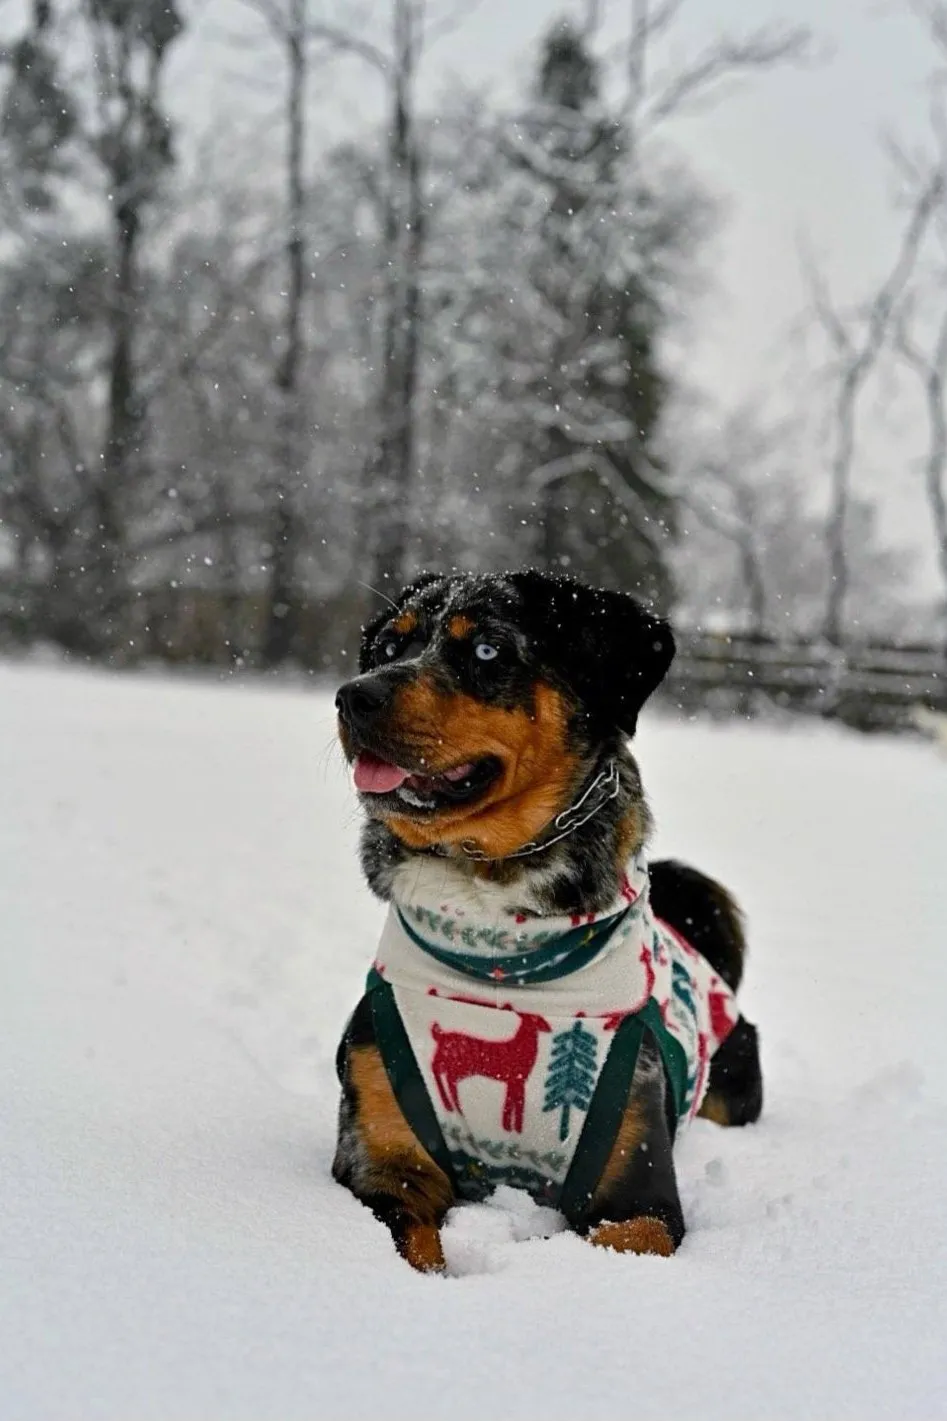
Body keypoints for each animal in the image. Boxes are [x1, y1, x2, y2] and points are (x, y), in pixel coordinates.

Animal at [331, 571, 762, 1273]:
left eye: (486, 650)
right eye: (389, 647)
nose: (354, 696)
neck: (500, 956)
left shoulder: (636, 1184)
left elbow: (628, 1235)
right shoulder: (380, 1154)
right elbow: (412, 1243)